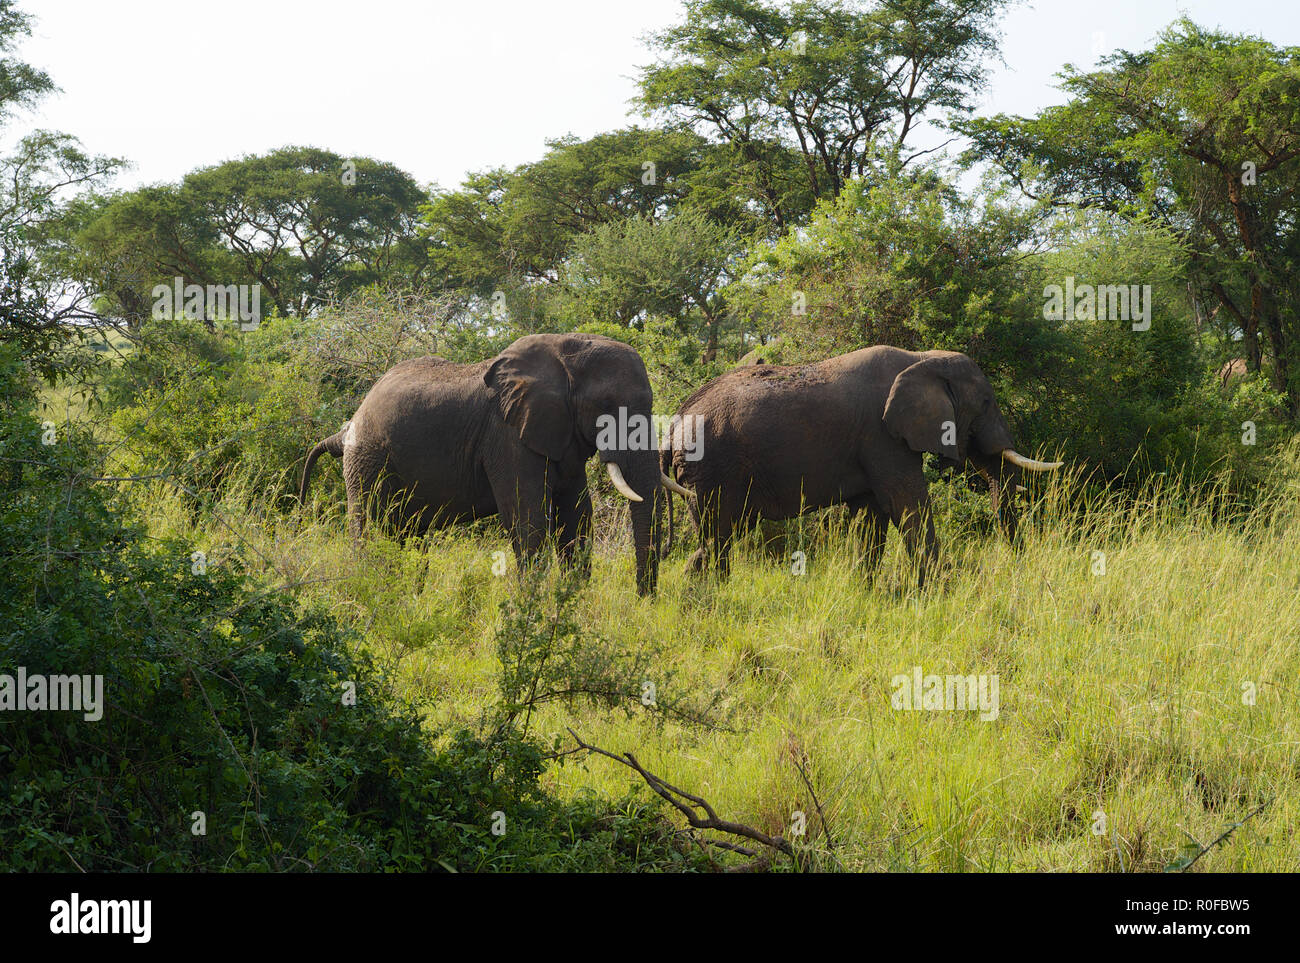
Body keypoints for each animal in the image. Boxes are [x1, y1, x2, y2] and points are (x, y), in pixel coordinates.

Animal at [297, 335, 691, 597]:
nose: (644, 599)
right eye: (606, 406)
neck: (564, 352)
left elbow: (576, 516)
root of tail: (346, 426)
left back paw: (410, 594)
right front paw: (534, 602)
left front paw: (572, 600)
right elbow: (527, 516)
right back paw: (370, 587)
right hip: (366, 461)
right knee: (369, 526)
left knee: (409, 534)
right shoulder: (506, 437)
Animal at [665, 345, 1060, 584]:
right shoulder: (882, 437)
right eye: (986, 403)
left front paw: (863, 588)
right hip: (711, 468)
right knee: (718, 535)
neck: (923, 358)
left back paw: (692, 593)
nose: (1018, 567)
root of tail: (675, 419)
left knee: (718, 535)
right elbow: (907, 502)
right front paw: (941, 588)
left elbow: (870, 516)